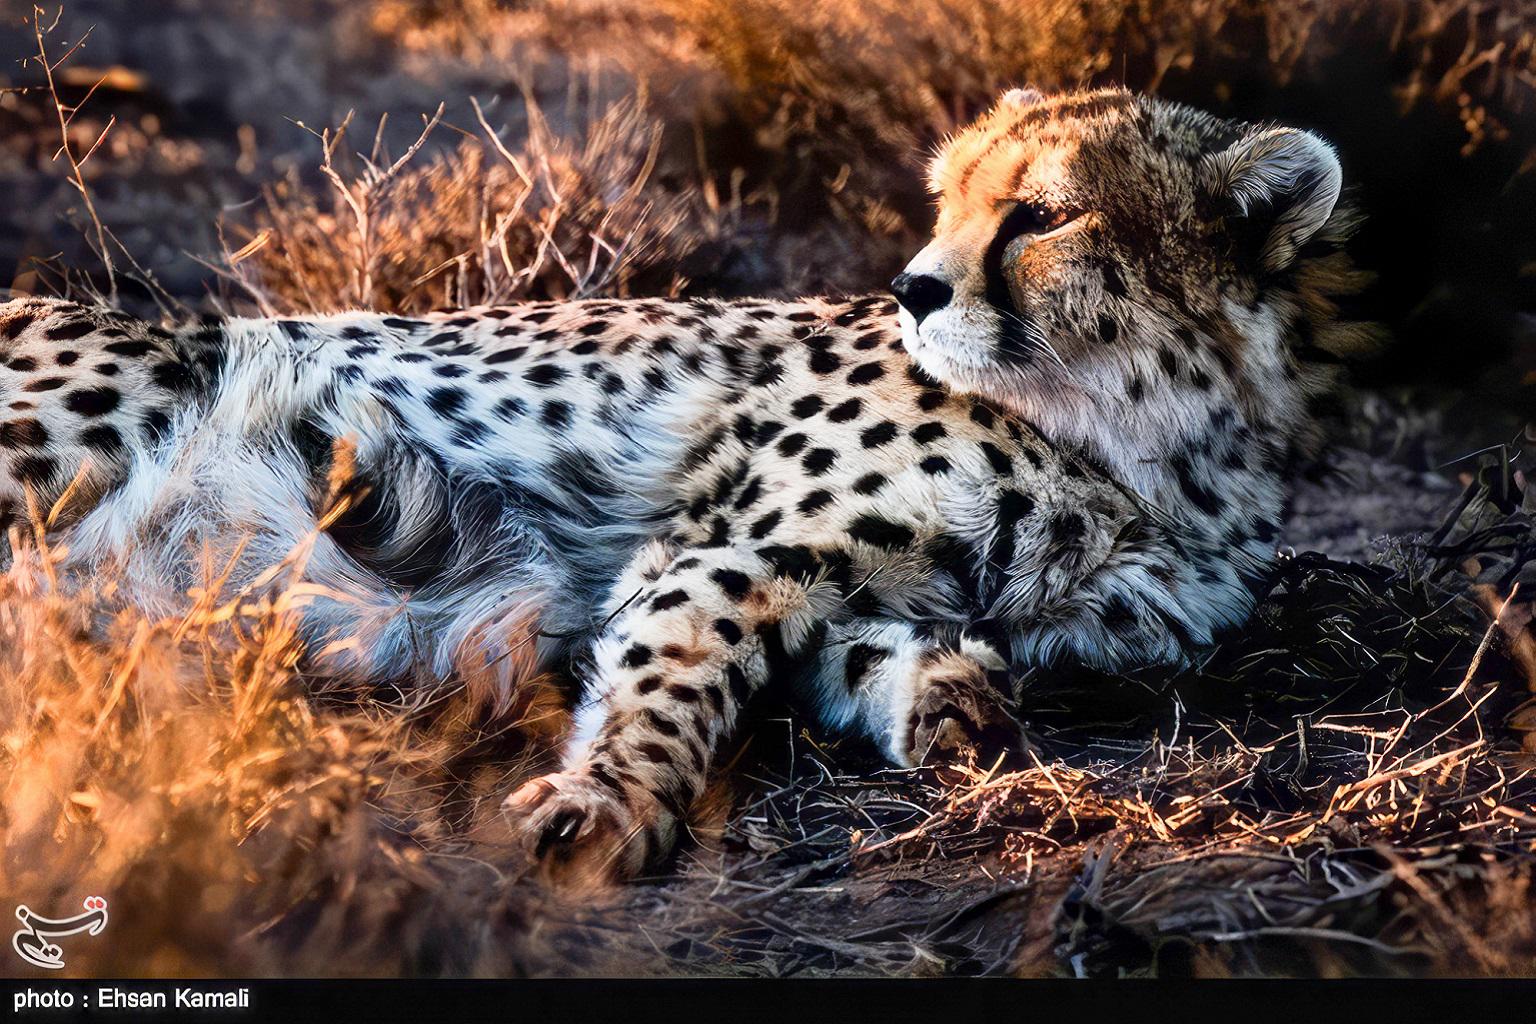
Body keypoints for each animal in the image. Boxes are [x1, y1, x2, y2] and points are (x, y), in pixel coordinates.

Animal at [0, 87, 1378, 888]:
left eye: (1042, 214)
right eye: (949, 198)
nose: (914, 287)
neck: (1142, 452)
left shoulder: (890, 588)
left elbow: (878, 645)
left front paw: (950, 701)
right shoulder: (725, 549)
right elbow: (680, 668)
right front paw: (607, 803)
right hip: (131, 391)